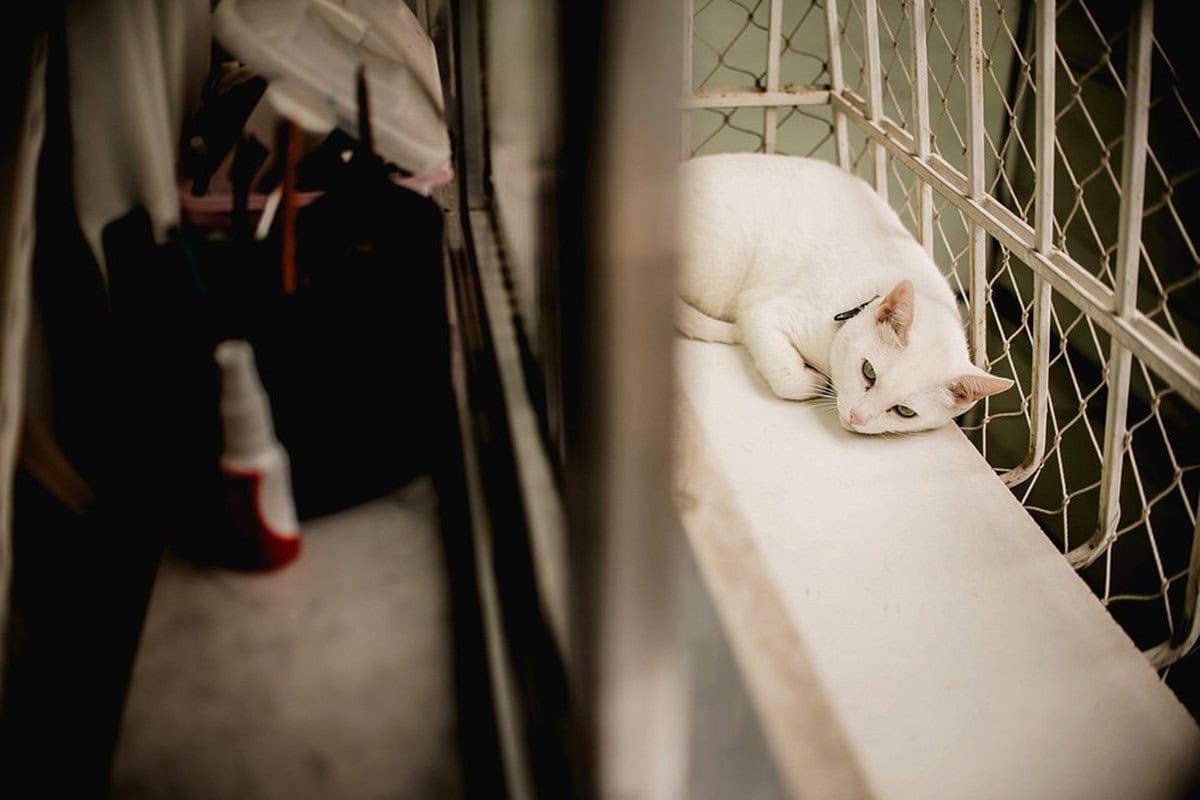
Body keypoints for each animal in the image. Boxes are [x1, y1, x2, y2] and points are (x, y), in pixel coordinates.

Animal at [681, 152, 1008, 434]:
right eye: (869, 371)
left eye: (905, 412)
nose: (856, 417)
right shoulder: (763, 312)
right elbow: (791, 382)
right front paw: (814, 380)